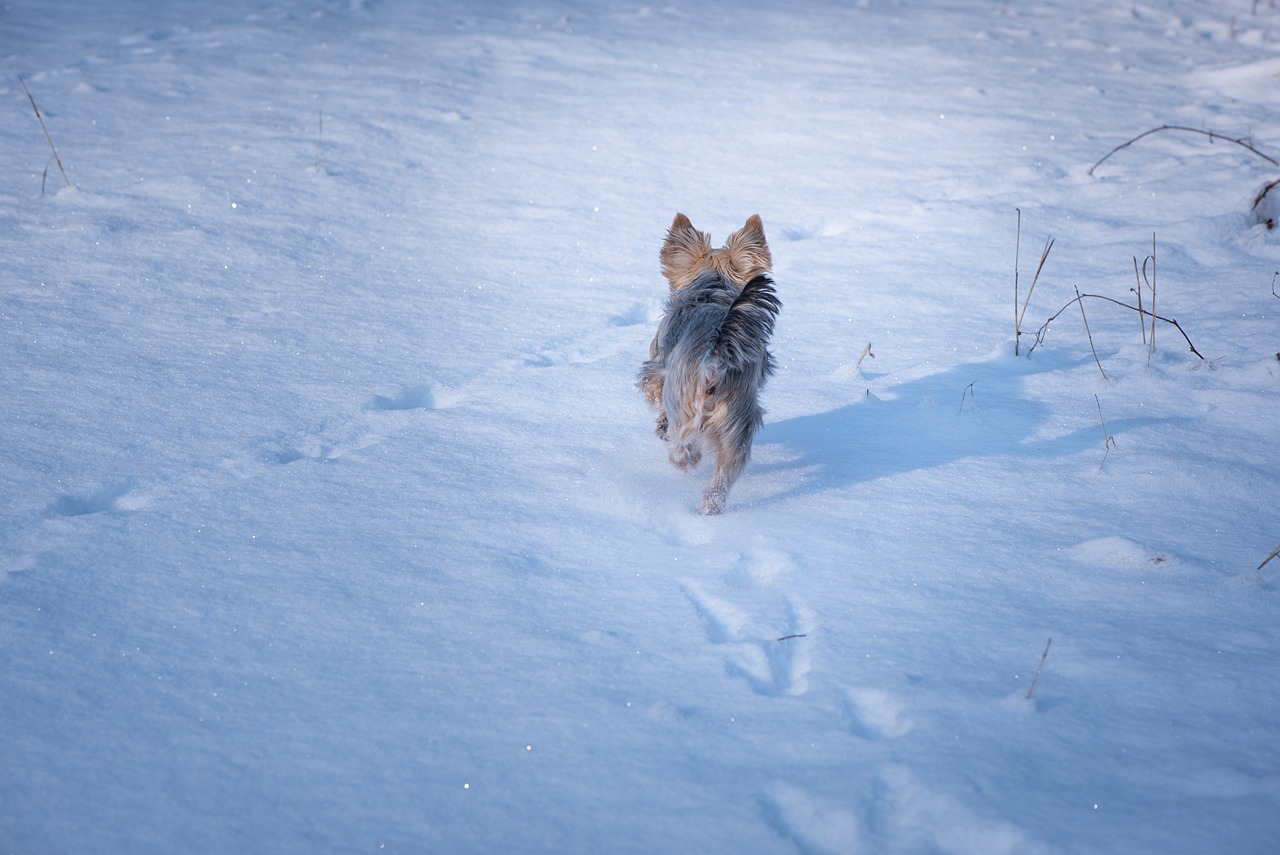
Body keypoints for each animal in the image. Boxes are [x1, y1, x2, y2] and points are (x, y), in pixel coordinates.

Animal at [640, 212, 778, 514]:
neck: (715, 286)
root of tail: (716, 360)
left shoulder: (658, 364)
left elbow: (652, 388)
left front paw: (660, 426)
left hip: (681, 399)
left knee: (682, 440)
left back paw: (683, 458)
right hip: (739, 423)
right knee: (725, 472)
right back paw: (710, 507)